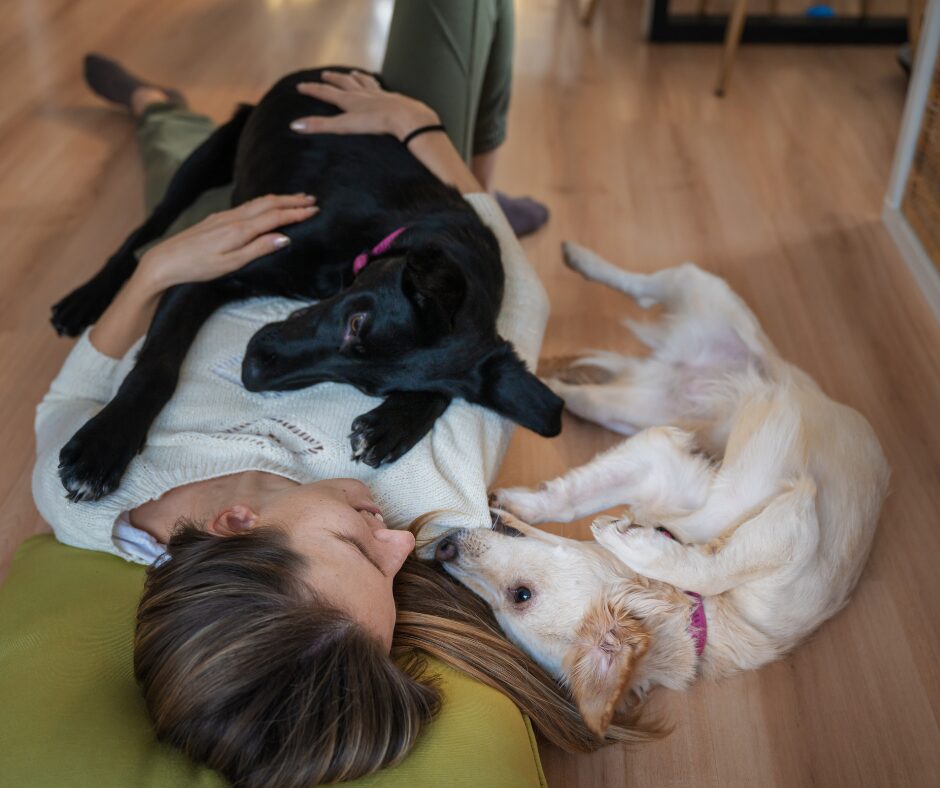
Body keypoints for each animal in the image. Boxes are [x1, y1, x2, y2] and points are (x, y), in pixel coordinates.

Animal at [51, 68, 563, 501]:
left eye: (371, 389)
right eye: (357, 321)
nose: (252, 373)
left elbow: (442, 391)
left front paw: (393, 425)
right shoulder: (209, 267)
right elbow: (157, 364)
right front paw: (104, 444)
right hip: (206, 162)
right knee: (148, 234)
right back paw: (86, 298)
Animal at [429, 243, 889, 737]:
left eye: (519, 596)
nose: (442, 549)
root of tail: (675, 367)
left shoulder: (793, 524)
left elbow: (708, 563)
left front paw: (630, 540)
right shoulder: (659, 460)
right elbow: (579, 498)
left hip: (684, 333)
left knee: (618, 324)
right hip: (652, 371)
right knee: (598, 345)